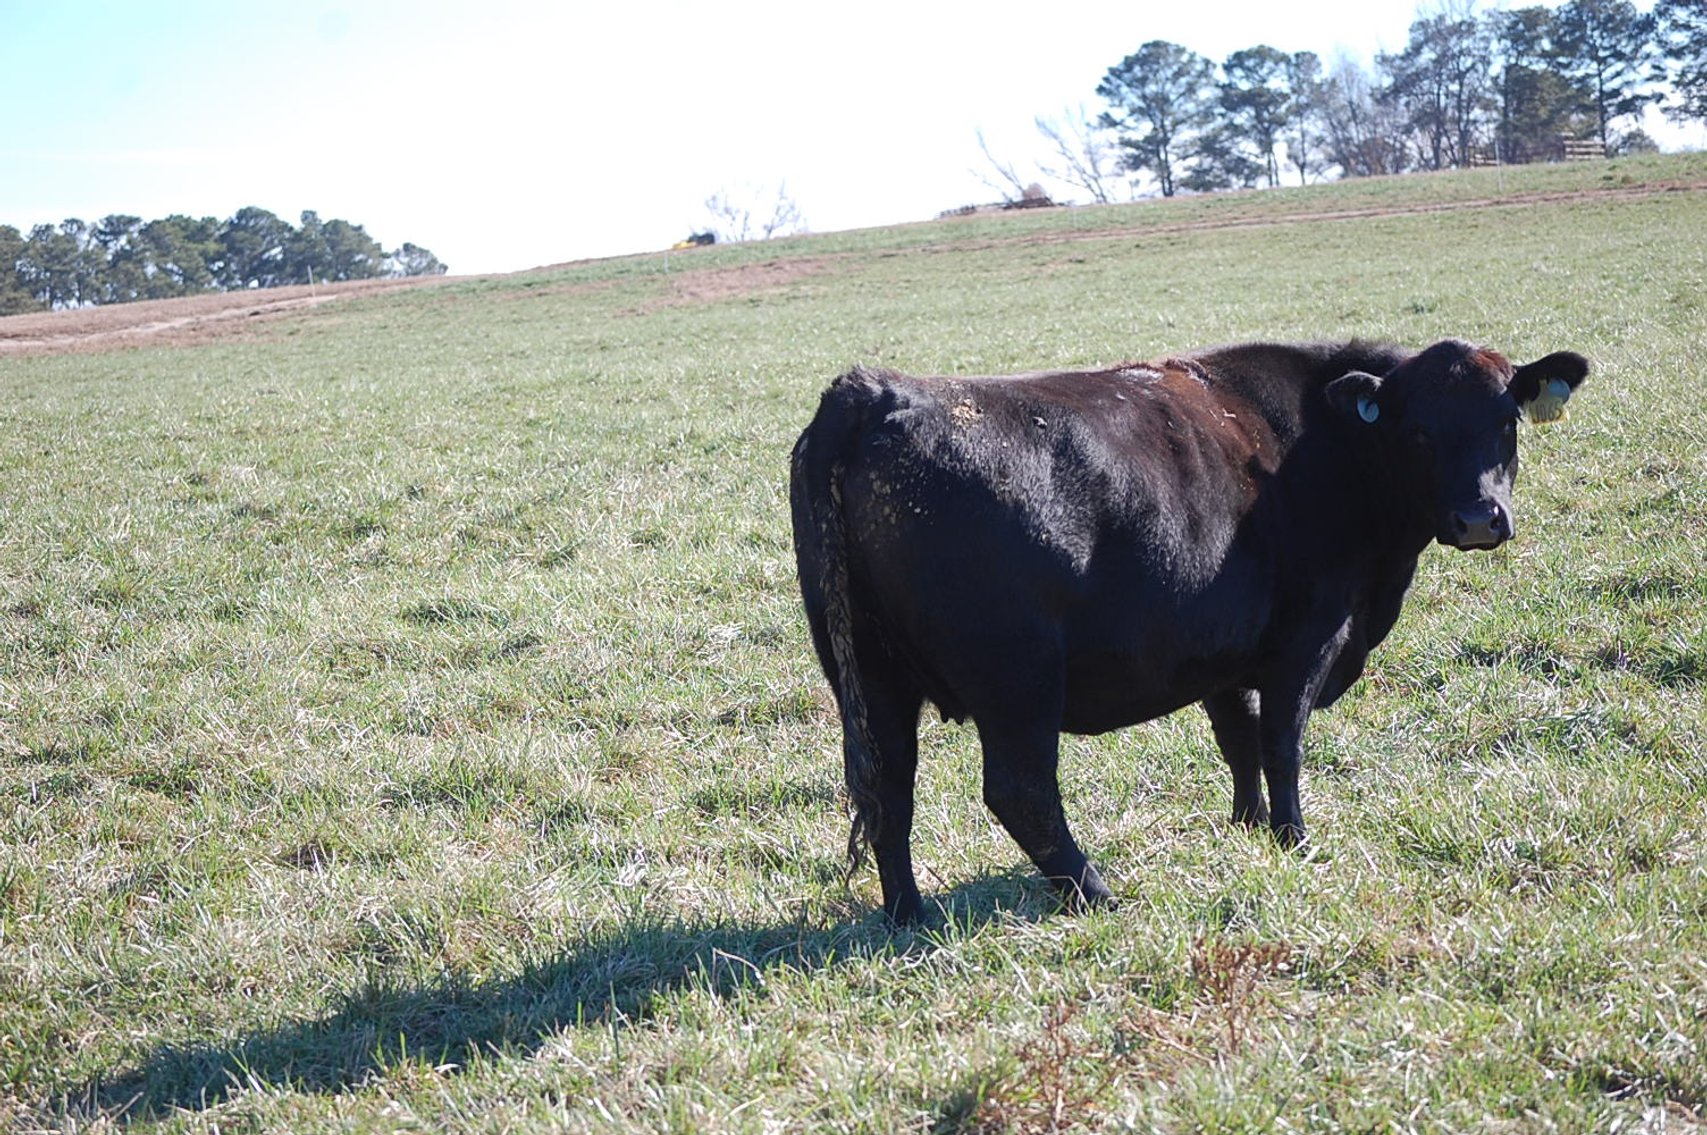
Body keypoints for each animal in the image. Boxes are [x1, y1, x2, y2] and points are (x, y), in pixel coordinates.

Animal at [788, 338, 1591, 925]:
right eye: (1417, 430)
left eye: (1505, 422)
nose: (1479, 518)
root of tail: (874, 391)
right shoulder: (1308, 638)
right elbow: (1281, 743)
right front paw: (1293, 839)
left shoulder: (1220, 654)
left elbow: (1238, 741)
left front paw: (1247, 827)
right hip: (1018, 682)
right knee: (1020, 791)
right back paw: (1095, 892)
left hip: (871, 677)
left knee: (888, 790)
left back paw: (909, 914)